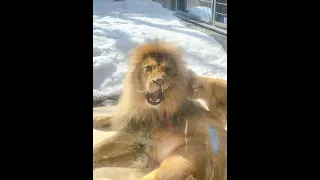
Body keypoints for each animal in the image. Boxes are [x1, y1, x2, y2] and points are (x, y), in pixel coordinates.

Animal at [93, 40, 228, 180]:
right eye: (148, 68)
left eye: (167, 70)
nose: (159, 81)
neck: (148, 107)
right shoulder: (134, 130)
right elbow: (113, 120)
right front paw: (97, 119)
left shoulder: (134, 132)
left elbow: (101, 146)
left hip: (176, 165)